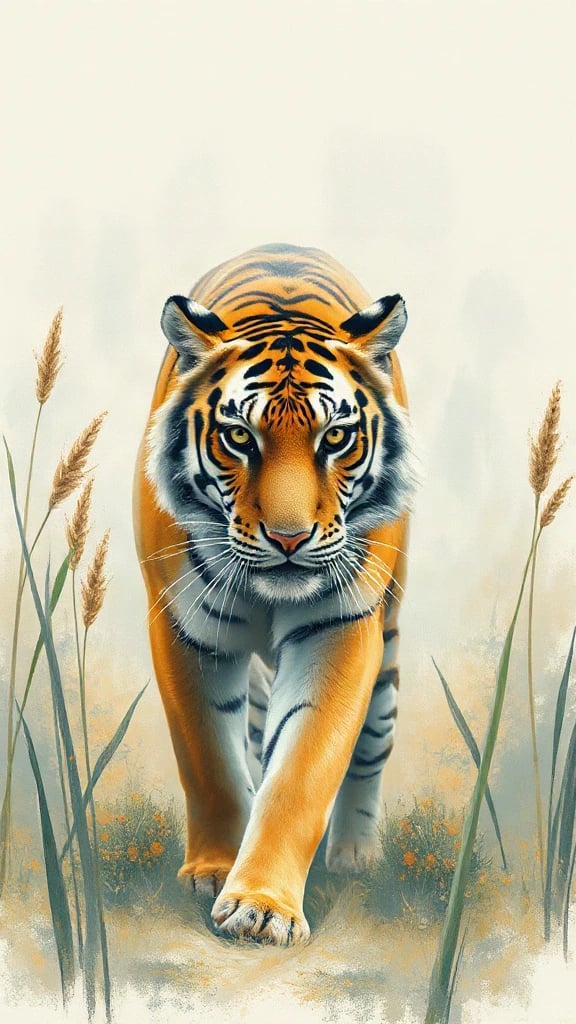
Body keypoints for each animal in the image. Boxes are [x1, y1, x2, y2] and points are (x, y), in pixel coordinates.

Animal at [133, 242, 415, 945]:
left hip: (387, 649)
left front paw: (262, 908)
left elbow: (301, 771)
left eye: (335, 437)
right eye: (240, 437)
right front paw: (214, 870)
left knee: (370, 746)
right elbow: (209, 759)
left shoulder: (340, 630)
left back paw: (353, 856)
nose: (289, 538)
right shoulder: (183, 626)